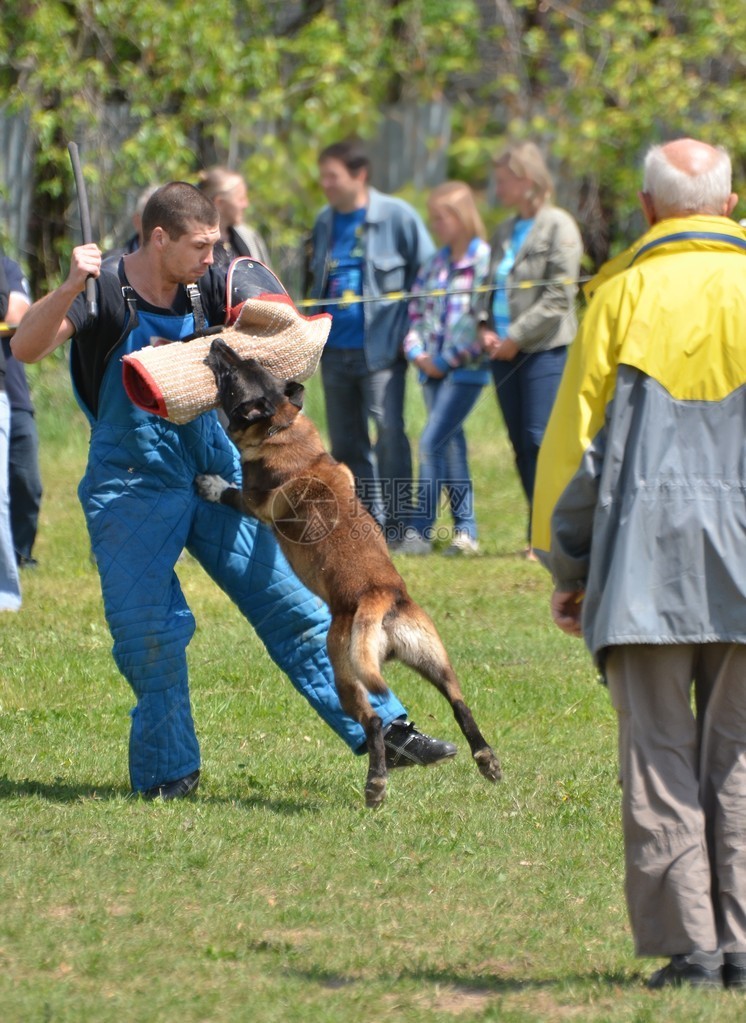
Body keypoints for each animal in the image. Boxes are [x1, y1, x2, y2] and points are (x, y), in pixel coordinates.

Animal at [196, 339, 501, 802]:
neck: (281, 427)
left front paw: (212, 485)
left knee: (372, 721)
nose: (217, 342)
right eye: (250, 362)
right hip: (433, 657)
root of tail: (380, 594)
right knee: (460, 704)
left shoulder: (254, 502)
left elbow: (231, 493)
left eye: (231, 376)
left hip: (344, 671)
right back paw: (486, 760)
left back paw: (376, 784)